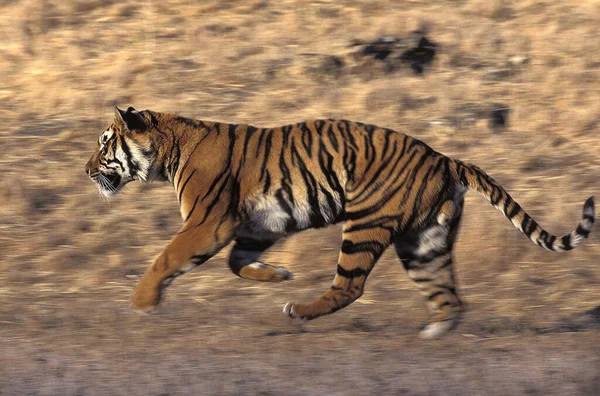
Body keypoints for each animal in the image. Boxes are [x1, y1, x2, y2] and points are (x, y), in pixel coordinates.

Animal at [85, 106, 596, 338]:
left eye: (105, 142)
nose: (86, 170)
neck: (169, 152)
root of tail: (444, 157)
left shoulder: (207, 223)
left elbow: (165, 258)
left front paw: (142, 302)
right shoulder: (259, 224)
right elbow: (237, 262)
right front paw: (277, 274)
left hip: (365, 223)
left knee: (350, 286)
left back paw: (299, 310)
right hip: (424, 241)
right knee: (447, 293)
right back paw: (437, 331)